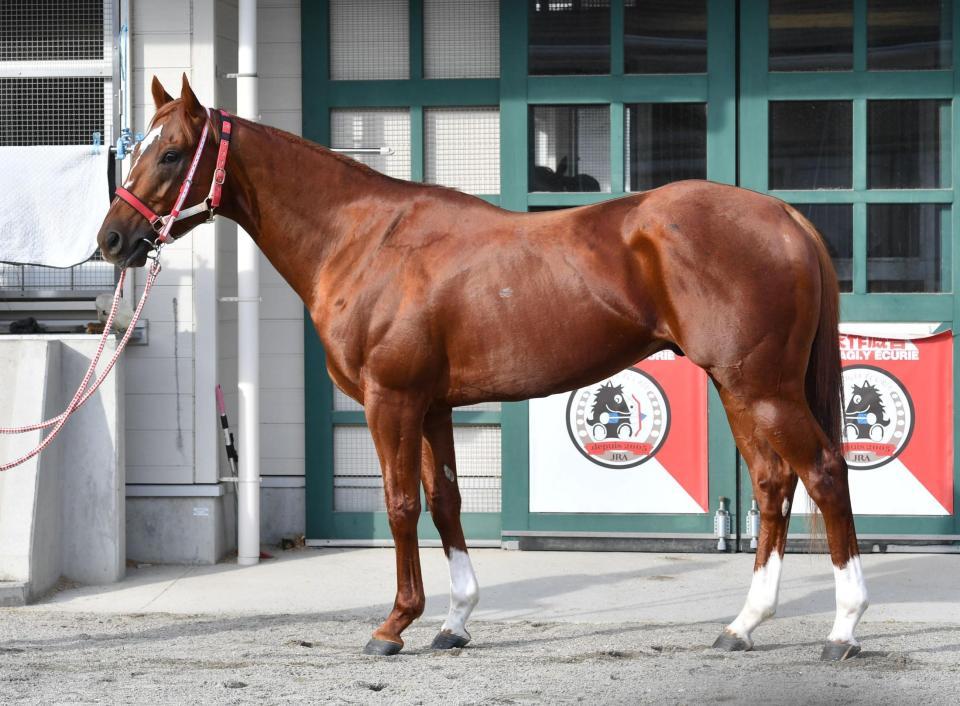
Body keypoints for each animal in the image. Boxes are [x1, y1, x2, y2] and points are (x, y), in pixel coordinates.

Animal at [97, 77, 872, 660]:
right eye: (135, 149)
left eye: (172, 154)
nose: (112, 239)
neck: (364, 239)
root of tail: (785, 218)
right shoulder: (433, 405)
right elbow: (445, 501)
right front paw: (454, 621)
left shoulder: (391, 400)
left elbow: (400, 504)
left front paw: (393, 625)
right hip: (740, 388)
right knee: (774, 485)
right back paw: (743, 625)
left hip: (760, 387)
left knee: (824, 473)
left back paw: (843, 629)